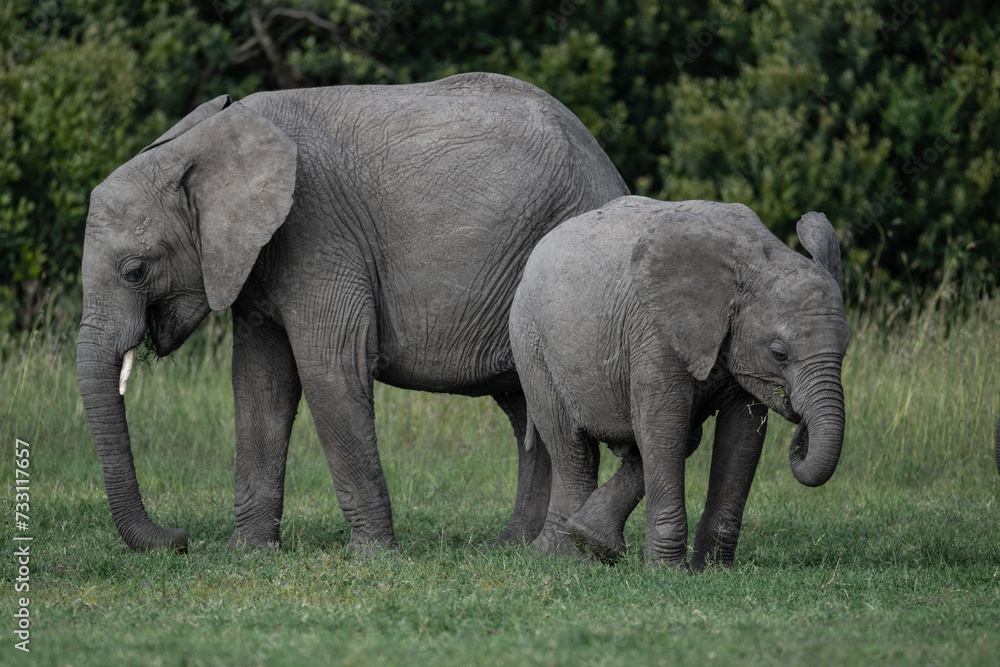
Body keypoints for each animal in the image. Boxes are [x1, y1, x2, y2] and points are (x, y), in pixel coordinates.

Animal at [77, 72, 629, 553]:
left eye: (133, 272)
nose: (181, 540)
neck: (203, 145)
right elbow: (260, 383)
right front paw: (249, 553)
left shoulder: (318, 231)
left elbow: (330, 370)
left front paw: (375, 557)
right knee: (525, 408)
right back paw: (511, 547)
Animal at [508, 196, 850, 569]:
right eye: (778, 353)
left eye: (846, 348)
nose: (799, 422)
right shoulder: (653, 330)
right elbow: (663, 424)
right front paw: (667, 571)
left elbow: (742, 437)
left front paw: (714, 570)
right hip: (532, 343)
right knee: (571, 446)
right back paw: (577, 556)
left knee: (678, 438)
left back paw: (589, 541)